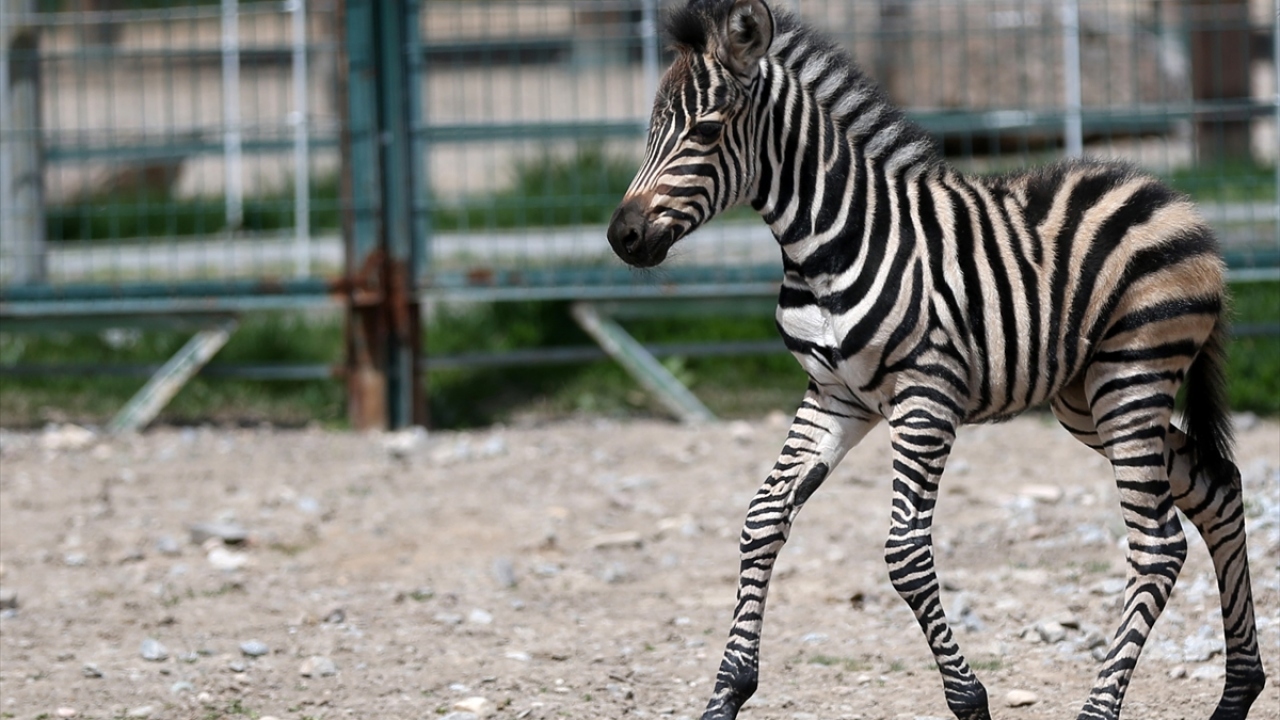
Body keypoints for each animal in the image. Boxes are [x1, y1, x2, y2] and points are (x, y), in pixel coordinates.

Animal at [604, 1, 1267, 719]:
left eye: (705, 130)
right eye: (651, 129)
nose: (622, 237)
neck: (825, 244)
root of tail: (1174, 199)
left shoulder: (926, 397)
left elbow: (904, 556)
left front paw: (968, 697)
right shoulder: (833, 395)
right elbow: (763, 518)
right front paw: (727, 691)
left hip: (1132, 376)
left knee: (1157, 544)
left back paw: (1103, 707)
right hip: (1087, 399)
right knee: (1218, 491)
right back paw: (1238, 692)